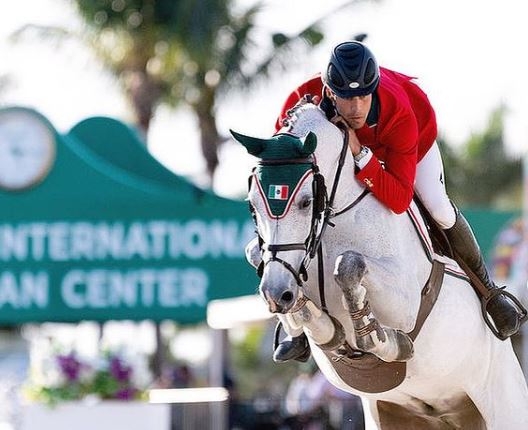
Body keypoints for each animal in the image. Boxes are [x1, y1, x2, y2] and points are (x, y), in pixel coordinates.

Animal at [233, 102, 528, 428]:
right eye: (252, 204)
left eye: (306, 201)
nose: (277, 293)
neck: (333, 224)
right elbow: (258, 255)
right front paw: (320, 326)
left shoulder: (405, 303)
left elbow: (349, 265)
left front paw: (378, 335)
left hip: (503, 407)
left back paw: (503, 314)